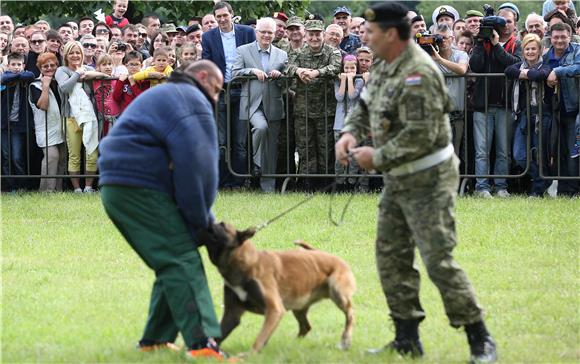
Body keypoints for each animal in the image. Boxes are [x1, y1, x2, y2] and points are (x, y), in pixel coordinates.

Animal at [199, 222, 354, 352]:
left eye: (222, 225)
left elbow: (259, 339)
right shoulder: (232, 314)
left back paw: (345, 339)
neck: (246, 263)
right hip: (299, 306)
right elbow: (217, 336)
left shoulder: (274, 310)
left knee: (350, 314)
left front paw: (249, 355)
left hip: (337, 292)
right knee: (305, 327)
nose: (206, 223)